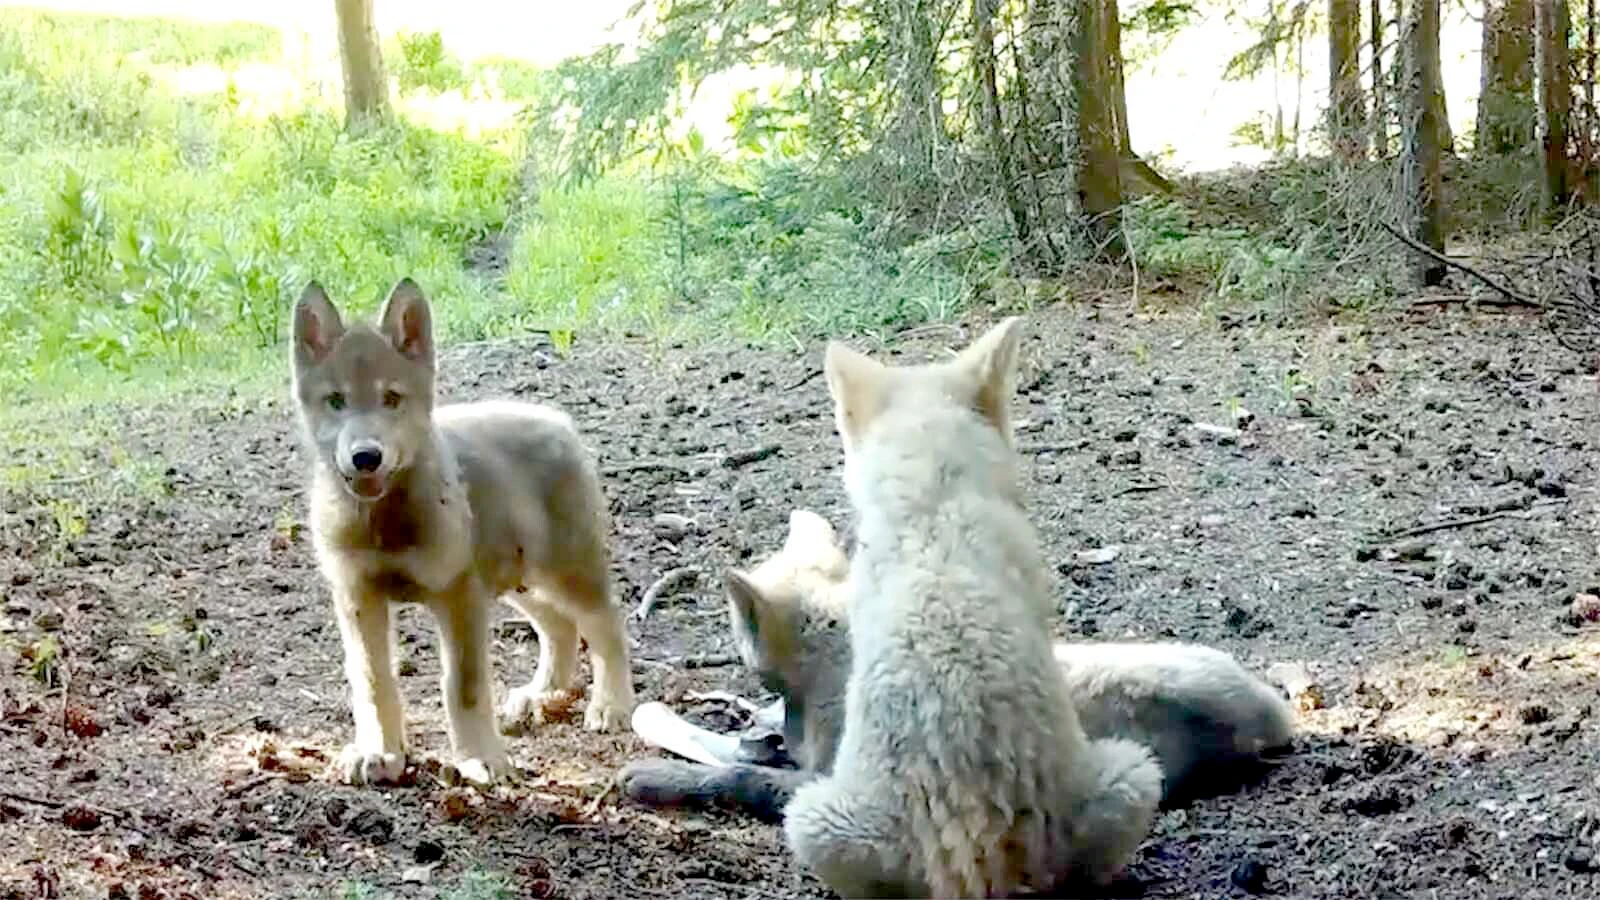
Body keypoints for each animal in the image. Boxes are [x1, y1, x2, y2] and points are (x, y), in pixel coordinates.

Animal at [290, 279, 635, 787]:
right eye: (336, 401)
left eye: (392, 399)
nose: (366, 457)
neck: (384, 524)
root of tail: (558, 421)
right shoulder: (357, 597)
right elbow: (373, 683)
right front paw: (380, 752)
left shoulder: (457, 595)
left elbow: (463, 686)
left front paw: (479, 757)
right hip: (516, 579)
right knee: (559, 628)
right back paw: (540, 695)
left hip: (562, 570)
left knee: (606, 623)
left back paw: (611, 705)